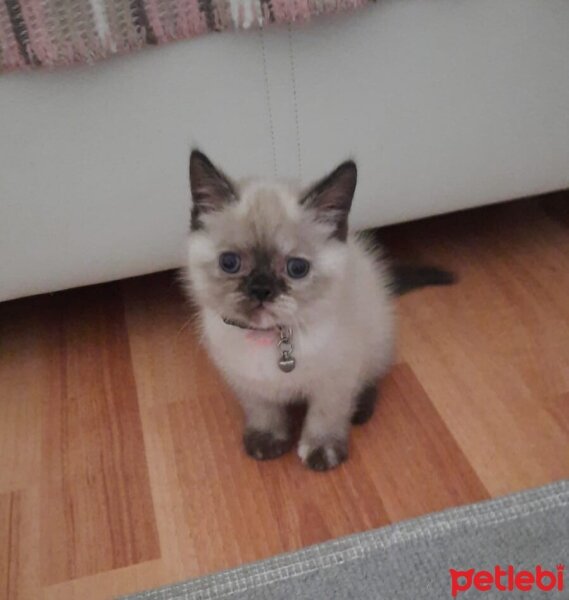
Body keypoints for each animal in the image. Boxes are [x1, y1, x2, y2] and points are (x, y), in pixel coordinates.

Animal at [186, 150, 452, 468]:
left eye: (297, 268)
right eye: (229, 263)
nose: (261, 289)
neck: (274, 338)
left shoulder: (335, 379)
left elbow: (326, 416)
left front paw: (322, 452)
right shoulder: (247, 382)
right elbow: (263, 411)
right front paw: (267, 441)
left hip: (374, 342)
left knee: (370, 379)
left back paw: (360, 410)